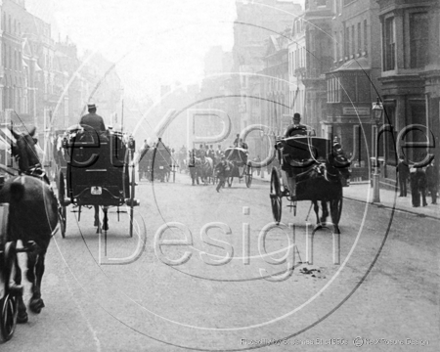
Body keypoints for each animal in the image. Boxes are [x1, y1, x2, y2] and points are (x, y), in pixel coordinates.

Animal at [0, 126, 58, 322]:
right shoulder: (43, 237)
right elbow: (38, 268)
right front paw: (36, 299)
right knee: (30, 266)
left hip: (13, 236)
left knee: (16, 272)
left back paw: (20, 309)